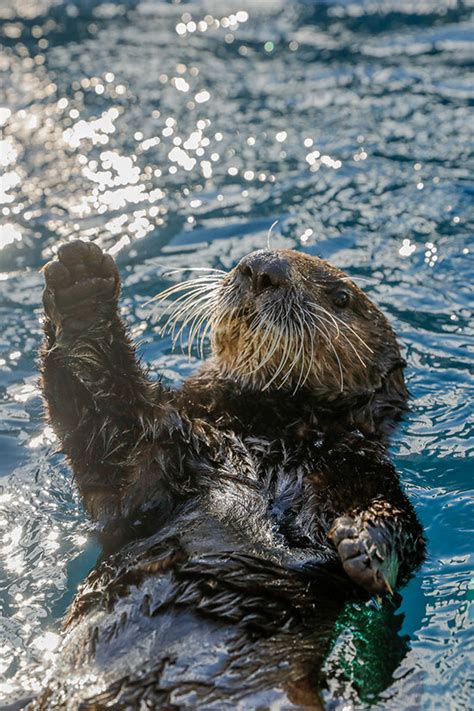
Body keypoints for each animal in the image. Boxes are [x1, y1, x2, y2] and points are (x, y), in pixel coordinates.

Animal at [34, 242, 426, 708]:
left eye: (341, 298)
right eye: (256, 257)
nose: (263, 267)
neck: (268, 433)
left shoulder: (363, 473)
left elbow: (402, 527)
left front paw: (364, 546)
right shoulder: (146, 463)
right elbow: (103, 414)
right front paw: (81, 291)